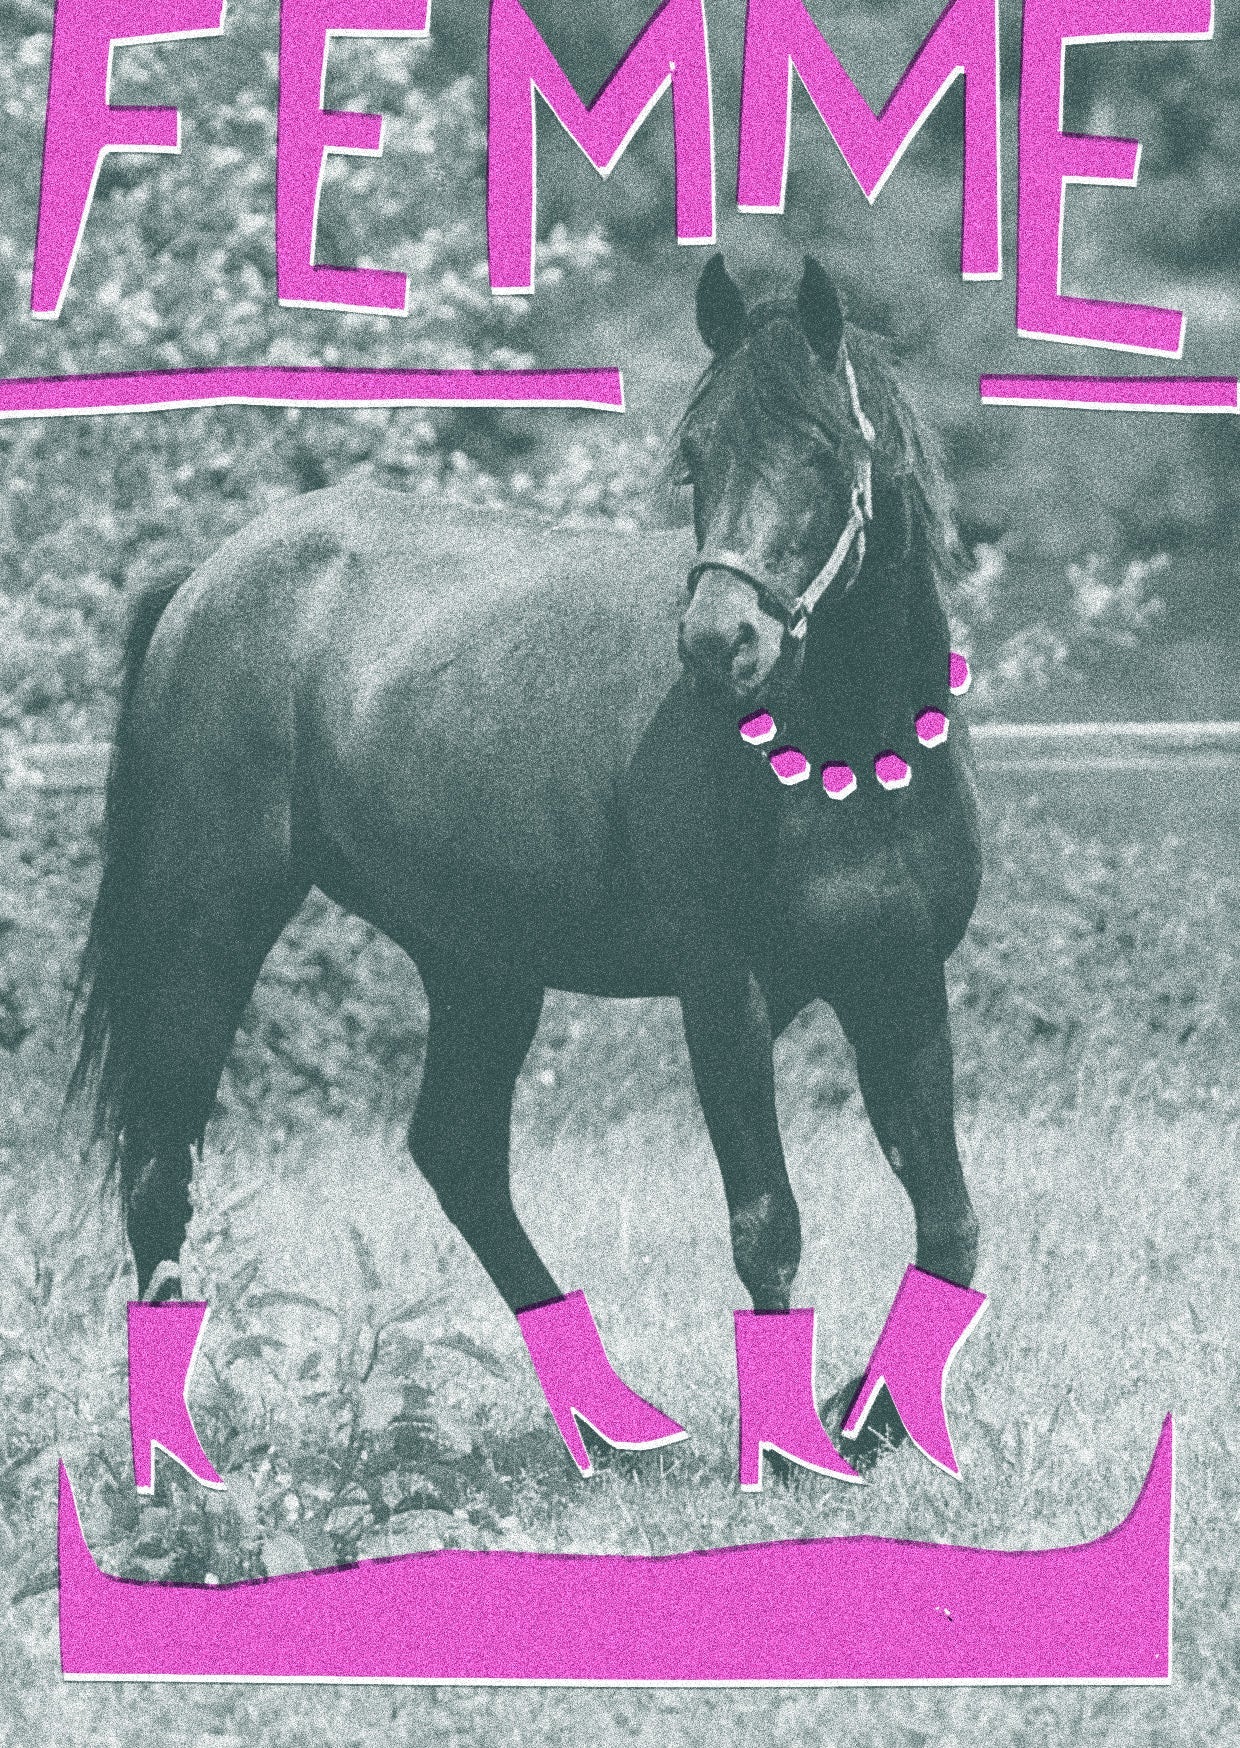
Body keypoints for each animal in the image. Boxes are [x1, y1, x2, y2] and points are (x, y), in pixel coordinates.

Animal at [71, 255, 982, 1479]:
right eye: (696, 454)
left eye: (821, 449)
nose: (718, 644)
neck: (841, 762)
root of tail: (208, 578)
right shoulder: (725, 996)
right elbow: (768, 1224)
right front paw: (794, 1446)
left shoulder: (900, 984)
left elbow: (948, 1223)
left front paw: (864, 1418)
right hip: (207, 923)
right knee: (162, 1168)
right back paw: (174, 1463)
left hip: (478, 966)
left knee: (453, 1153)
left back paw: (613, 1422)